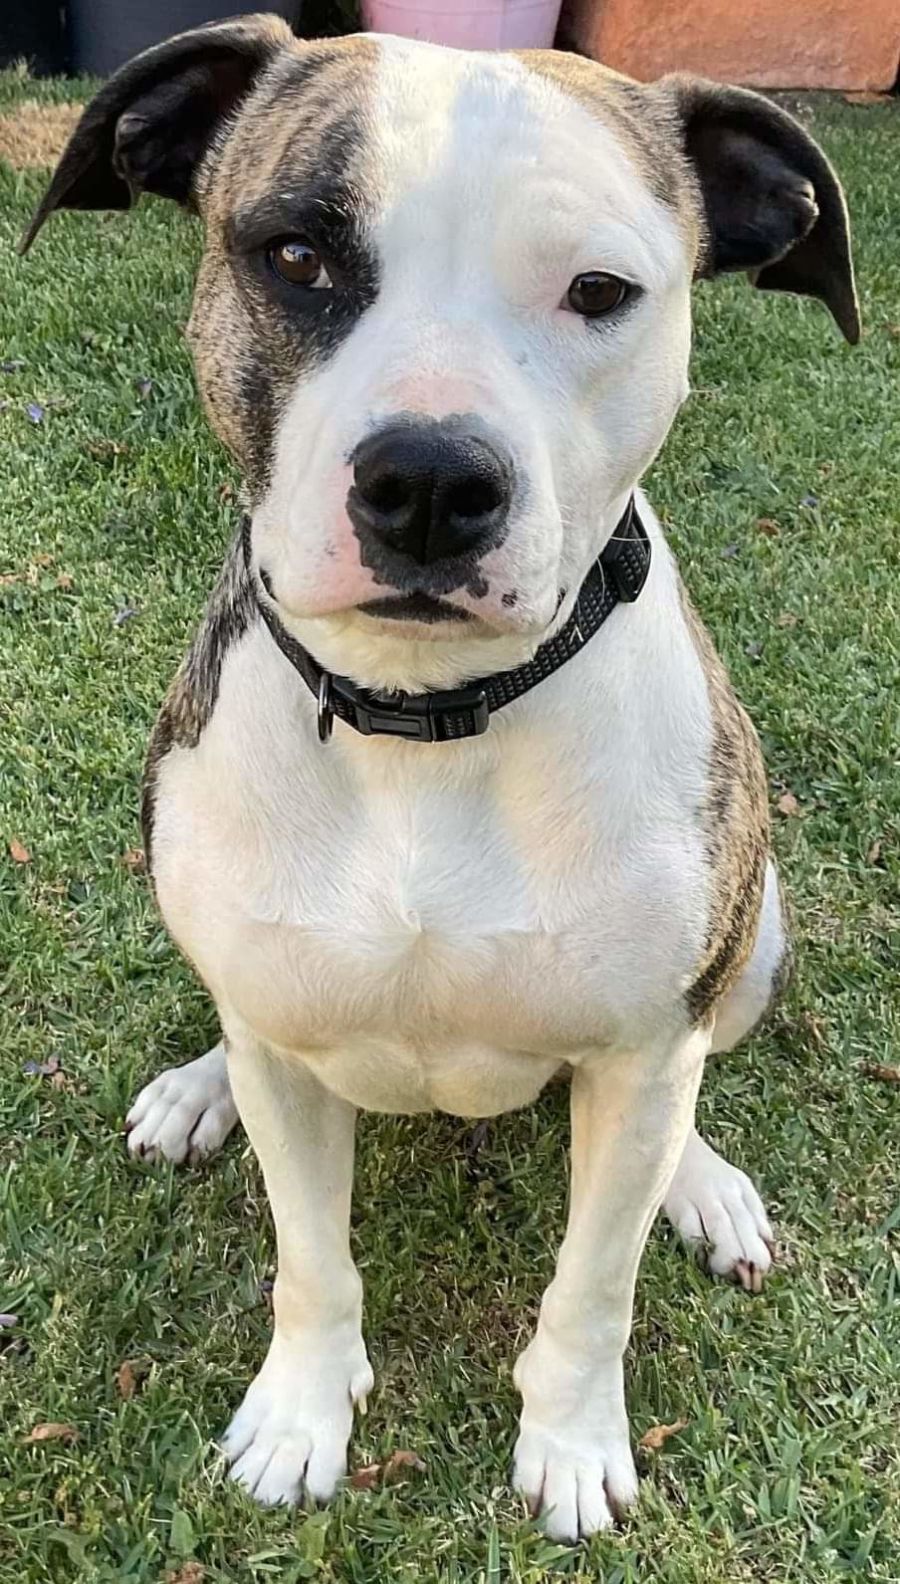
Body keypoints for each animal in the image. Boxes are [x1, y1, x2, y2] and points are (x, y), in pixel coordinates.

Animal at [25, 14, 858, 1541]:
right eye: (296, 253)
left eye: (601, 292)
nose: (425, 482)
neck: (424, 723)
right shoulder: (290, 1047)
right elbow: (312, 1260)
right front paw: (300, 1417)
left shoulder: (642, 1056)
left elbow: (594, 1286)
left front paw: (574, 1443)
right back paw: (198, 1090)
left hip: (755, 934)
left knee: (694, 1090)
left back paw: (705, 1187)